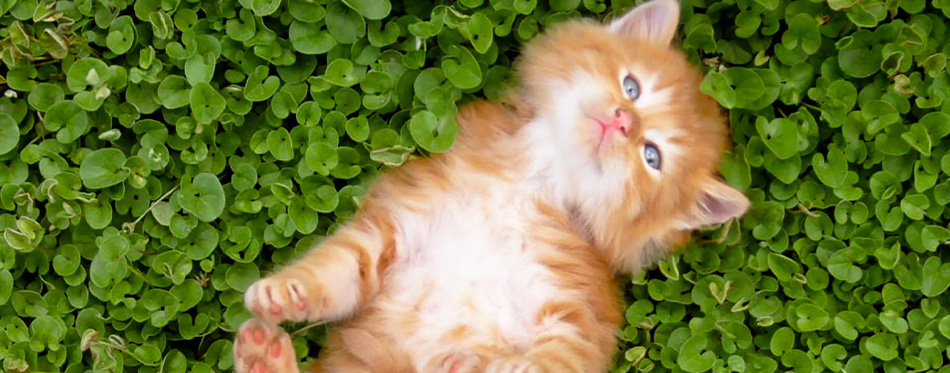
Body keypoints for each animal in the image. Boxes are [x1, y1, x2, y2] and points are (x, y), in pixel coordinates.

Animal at [232, 0, 752, 370]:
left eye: (653, 156)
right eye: (632, 87)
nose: (623, 121)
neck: (530, 183)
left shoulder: (576, 307)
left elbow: (555, 359)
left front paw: (488, 365)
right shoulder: (399, 223)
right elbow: (337, 266)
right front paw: (286, 292)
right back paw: (263, 354)